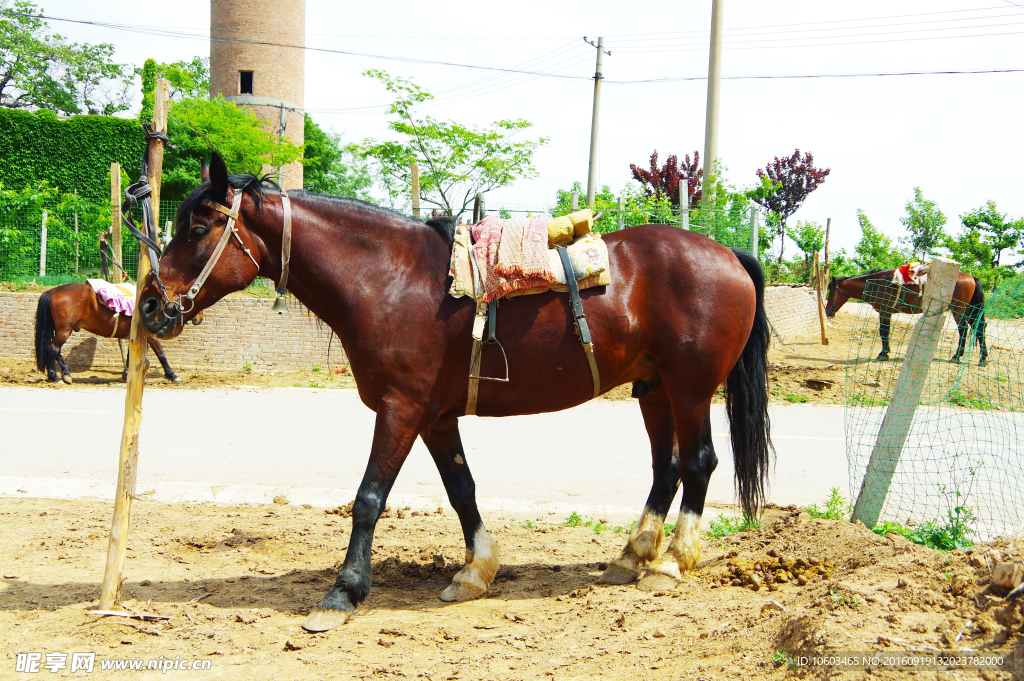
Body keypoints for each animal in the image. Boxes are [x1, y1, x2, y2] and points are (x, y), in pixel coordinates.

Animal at [33, 282, 194, 382]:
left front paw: (127, 373)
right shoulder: (149, 335)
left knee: (55, 349)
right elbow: (161, 353)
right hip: (64, 329)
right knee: (53, 348)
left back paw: (65, 372)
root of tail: (53, 291)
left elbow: (130, 355)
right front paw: (171, 374)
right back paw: (55, 376)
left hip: (61, 329)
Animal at [140, 151, 770, 630]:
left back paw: (671, 564)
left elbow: (369, 498)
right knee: (667, 468)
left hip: (690, 391)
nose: (148, 305)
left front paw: (344, 591)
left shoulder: (399, 410)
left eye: (198, 229)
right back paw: (632, 557)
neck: (388, 279)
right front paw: (475, 572)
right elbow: (461, 489)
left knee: (699, 462)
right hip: (655, 391)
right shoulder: (436, 417)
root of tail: (728, 254)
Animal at [823, 268, 983, 364]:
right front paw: (885, 352)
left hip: (958, 310)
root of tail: (971, 277)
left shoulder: (885, 312)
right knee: (979, 329)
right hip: (968, 310)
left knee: (964, 329)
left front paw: (883, 354)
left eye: (831, 290)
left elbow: (883, 332)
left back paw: (957, 356)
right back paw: (983, 358)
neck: (878, 284)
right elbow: (884, 332)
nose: (827, 311)